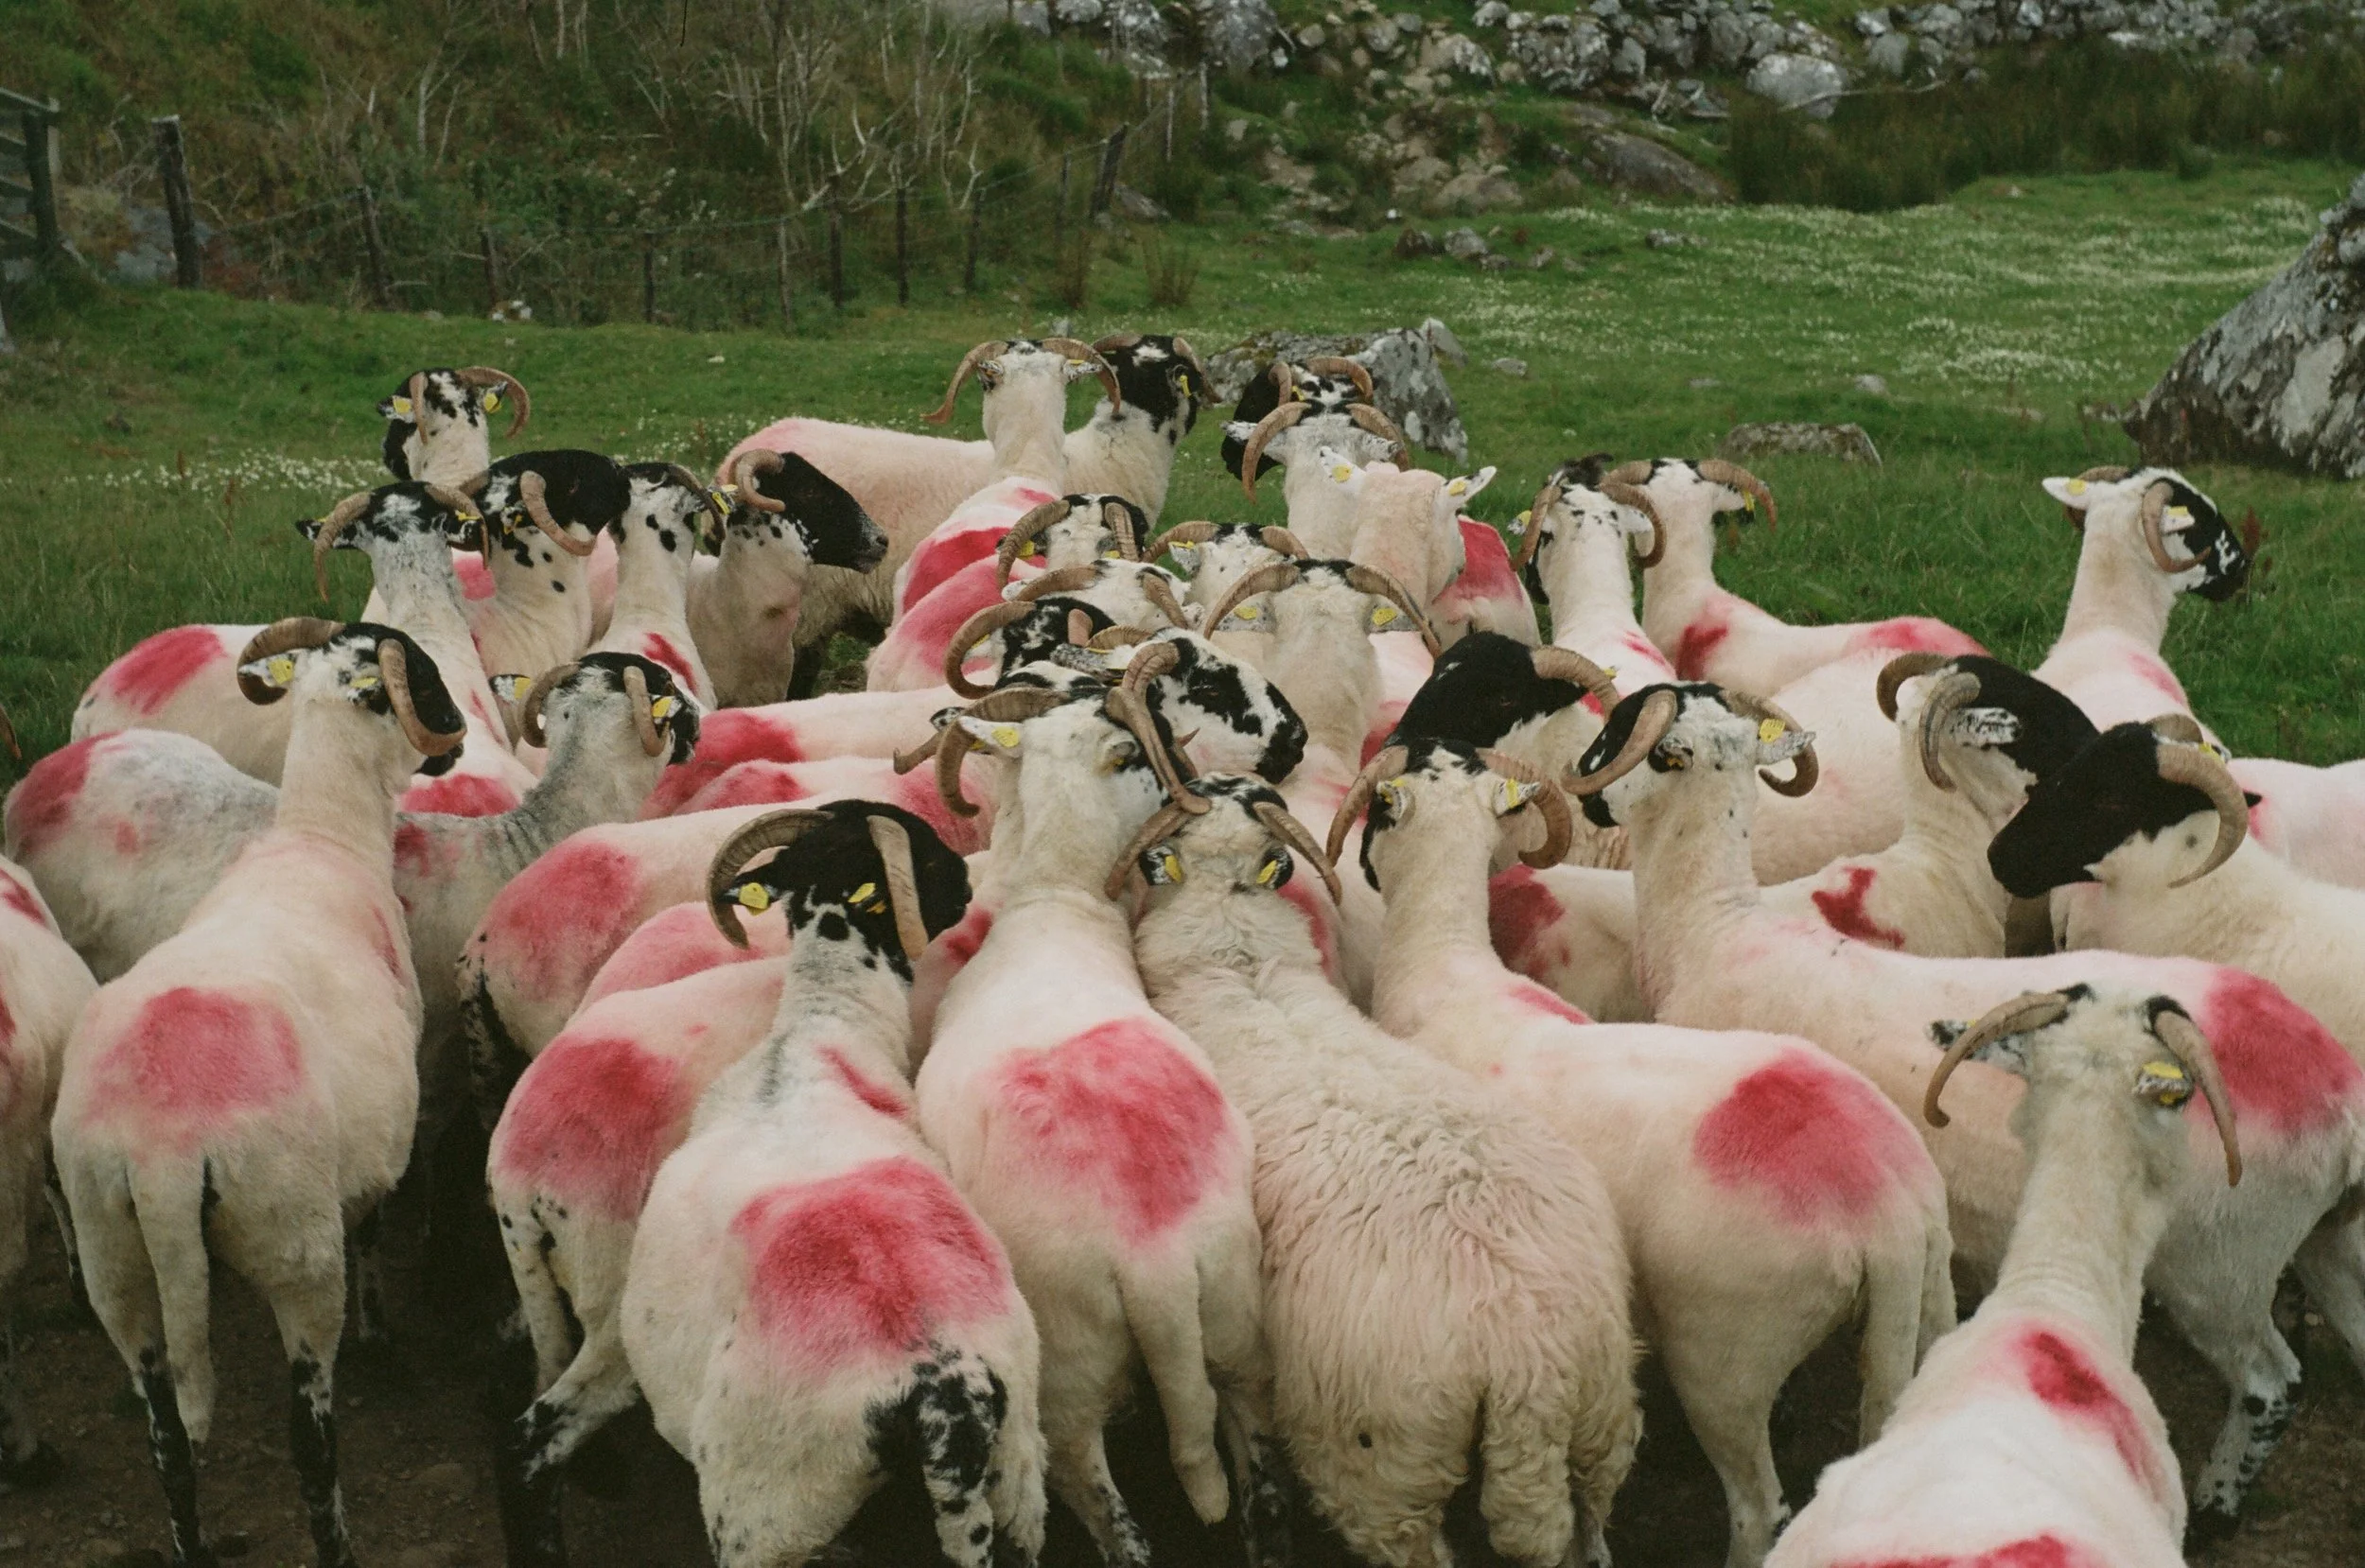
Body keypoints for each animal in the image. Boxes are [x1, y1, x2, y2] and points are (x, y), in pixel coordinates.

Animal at [51, 617, 468, 1568]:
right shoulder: (373, 1157)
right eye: (424, 677)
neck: (323, 836)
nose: (457, 740)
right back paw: (338, 1545)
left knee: (167, 1437)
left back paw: (194, 1544)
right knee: (309, 1440)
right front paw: (384, 1339)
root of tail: (162, 1151)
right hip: (294, 1245)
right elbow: (377, 1232)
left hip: (112, 1252)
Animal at [912, 663, 1281, 1567]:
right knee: (1257, 1468)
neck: (1057, 901)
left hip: (1067, 1369)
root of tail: (1155, 1257)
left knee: (1101, 1502)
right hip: (1237, 1313)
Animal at [1333, 736, 1954, 1568]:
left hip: (1726, 1354)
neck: (1442, 969)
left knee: (1757, 1505)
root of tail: (1890, 1214)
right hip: (1930, 1301)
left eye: (1378, 810)